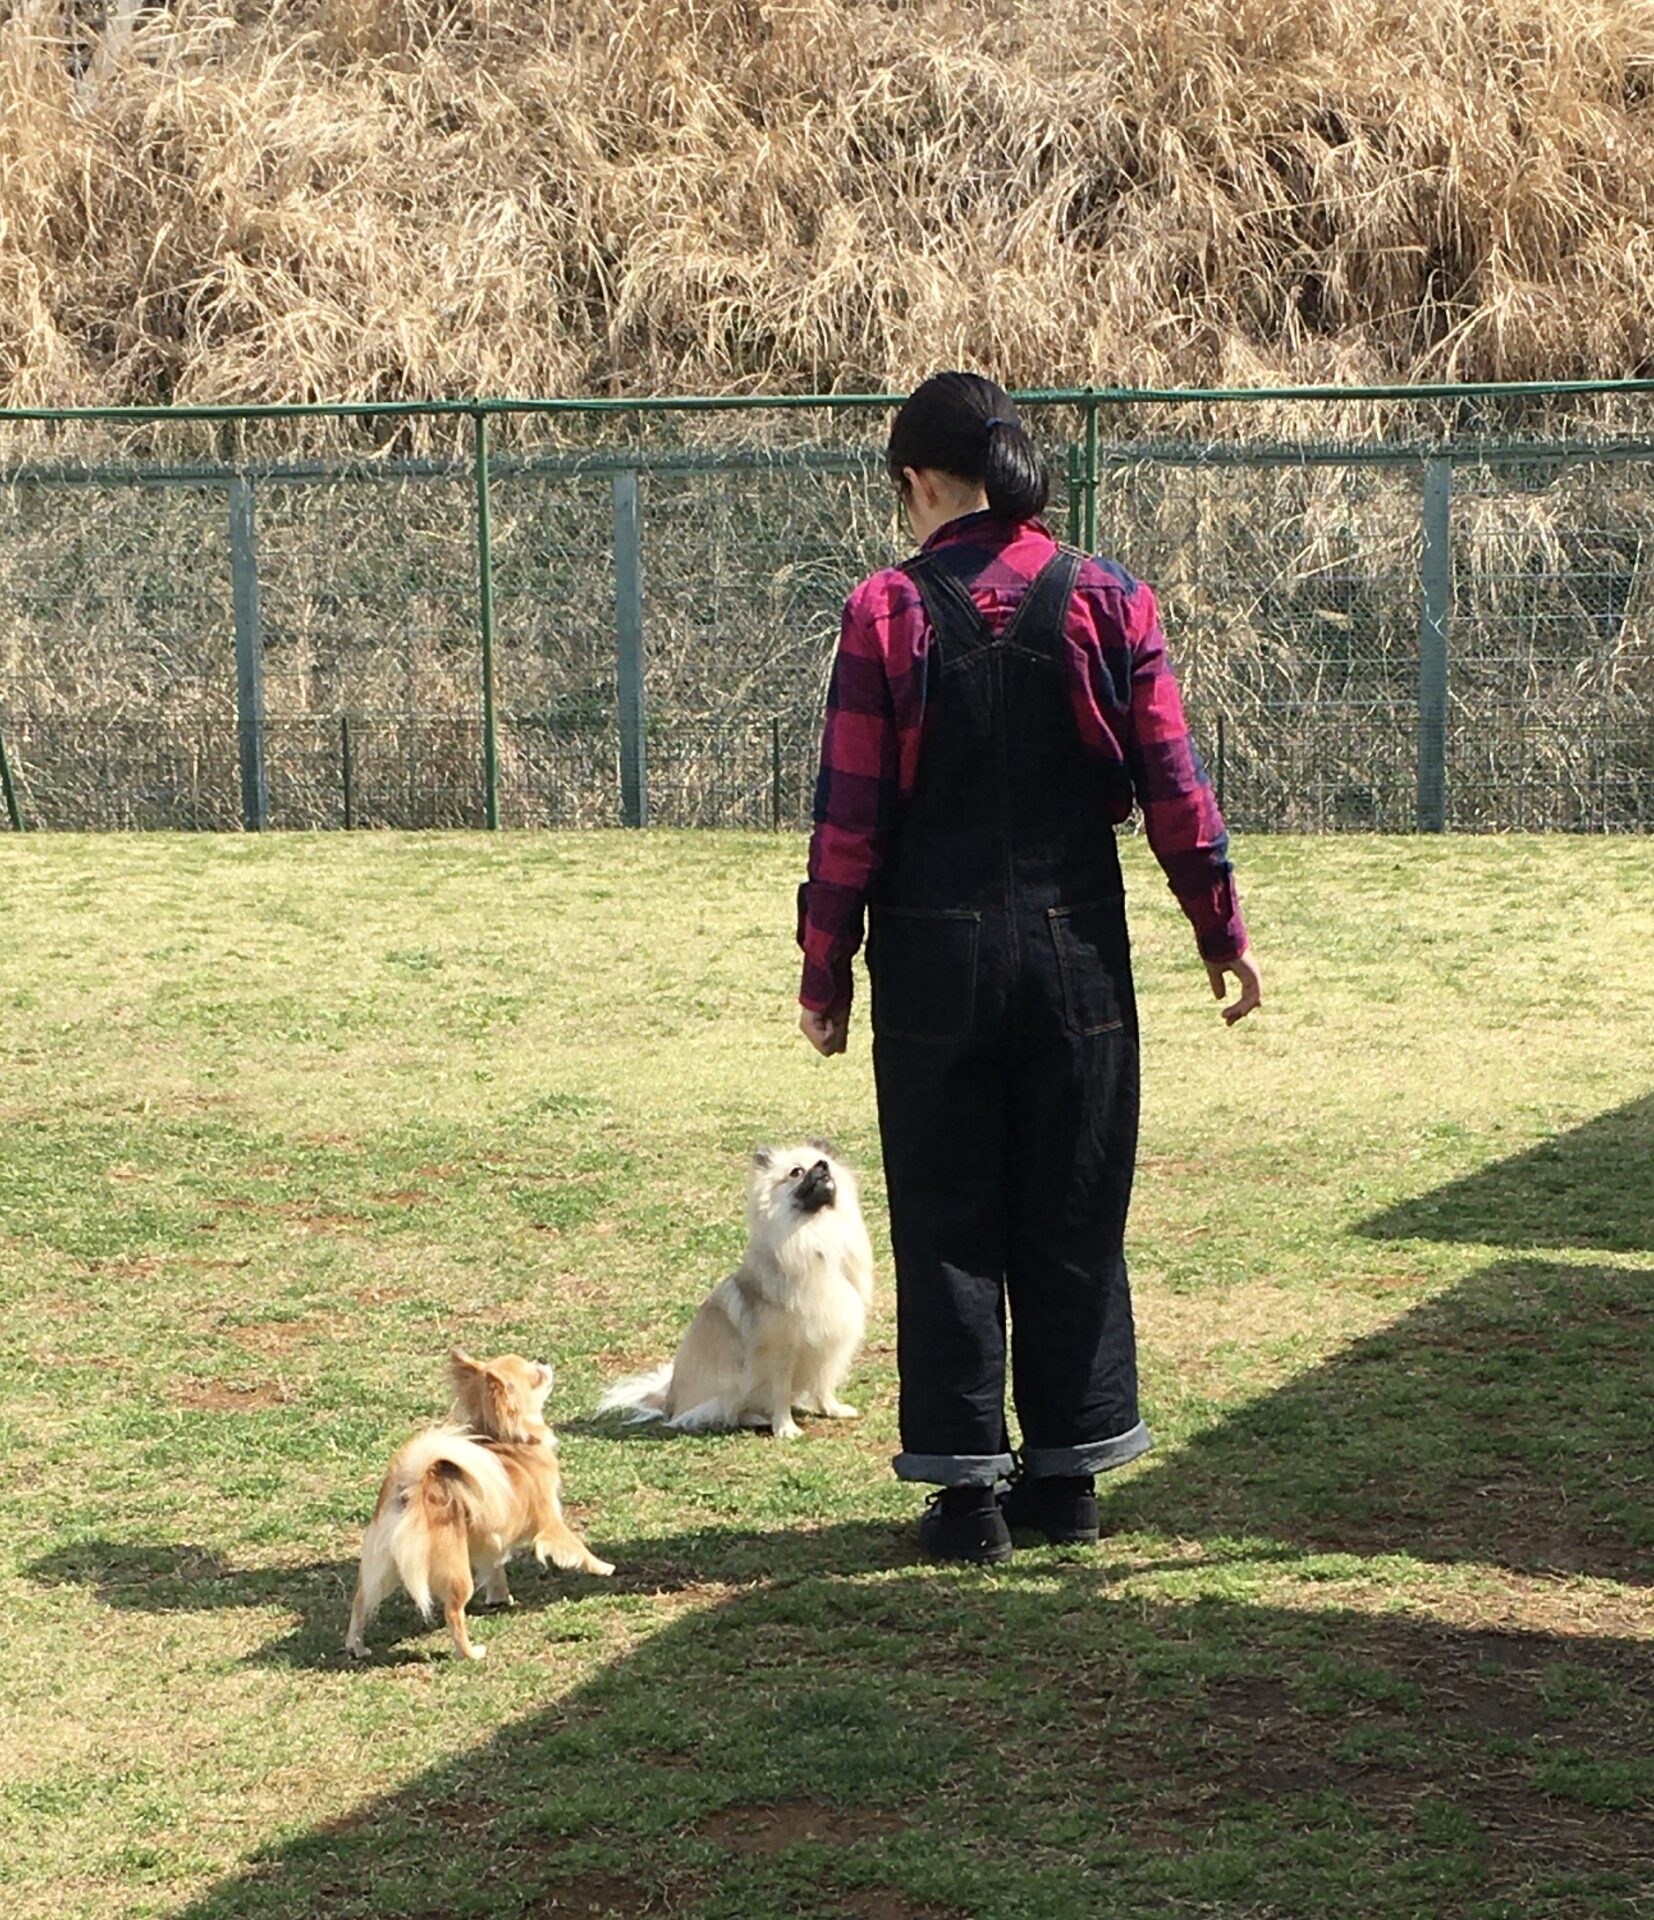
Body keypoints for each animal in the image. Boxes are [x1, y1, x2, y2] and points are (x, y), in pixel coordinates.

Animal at [345, 1349, 612, 1661]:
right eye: (534, 1376)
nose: (543, 1359)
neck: (506, 1439)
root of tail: (411, 1488)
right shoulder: (549, 1523)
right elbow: (577, 1546)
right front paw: (604, 1567)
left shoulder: (491, 1540)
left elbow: (495, 1570)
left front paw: (500, 1598)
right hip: (456, 1573)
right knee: (452, 1612)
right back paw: (470, 1653)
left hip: (382, 1566)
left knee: (360, 1602)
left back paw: (356, 1646)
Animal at [598, 1144, 874, 1438]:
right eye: (796, 1172)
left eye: (824, 1163)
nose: (822, 1166)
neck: (817, 1232)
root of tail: (668, 1403)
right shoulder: (780, 1351)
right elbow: (780, 1392)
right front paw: (785, 1427)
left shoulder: (830, 1343)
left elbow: (824, 1383)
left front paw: (832, 1409)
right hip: (728, 1393)